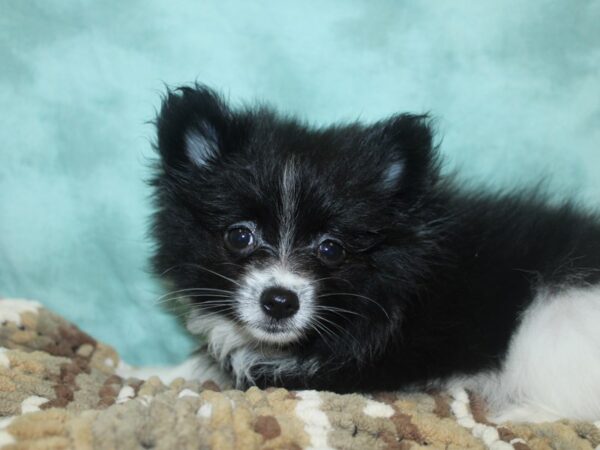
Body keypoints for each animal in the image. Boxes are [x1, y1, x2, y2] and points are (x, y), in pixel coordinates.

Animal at [149, 86, 600, 424]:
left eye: (331, 248)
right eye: (240, 236)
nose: (279, 302)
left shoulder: (342, 367)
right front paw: (157, 371)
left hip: (554, 319)